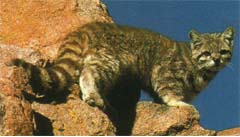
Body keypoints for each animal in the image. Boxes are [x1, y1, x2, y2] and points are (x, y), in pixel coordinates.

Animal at [10, 22, 233, 110]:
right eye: (207, 53)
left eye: (223, 51)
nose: (217, 60)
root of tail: (90, 26)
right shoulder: (165, 71)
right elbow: (168, 89)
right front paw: (176, 102)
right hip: (110, 59)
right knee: (88, 72)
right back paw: (92, 92)